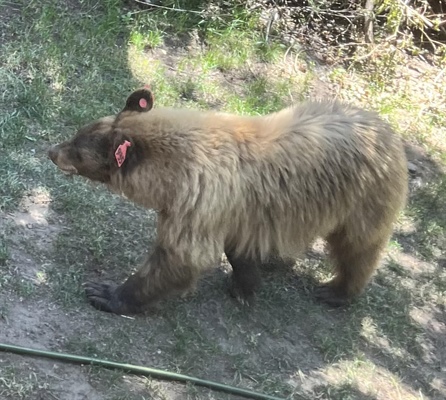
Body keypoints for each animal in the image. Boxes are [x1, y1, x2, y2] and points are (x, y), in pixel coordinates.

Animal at [48, 87, 408, 316]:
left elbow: (182, 256)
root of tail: (391, 133)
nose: (52, 151)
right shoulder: (235, 209)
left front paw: (107, 293)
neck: (172, 176)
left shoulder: (199, 200)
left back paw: (337, 290)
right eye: (78, 133)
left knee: (358, 248)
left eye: (78, 151)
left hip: (363, 200)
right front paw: (245, 283)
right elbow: (237, 249)